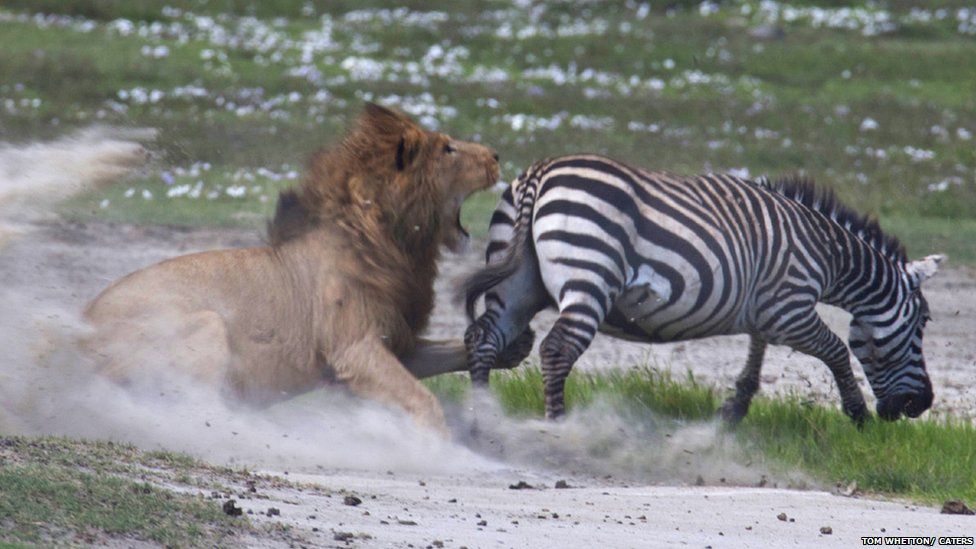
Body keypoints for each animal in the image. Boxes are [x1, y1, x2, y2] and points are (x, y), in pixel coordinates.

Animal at [82, 104, 510, 432]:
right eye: (448, 149)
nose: (495, 155)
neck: (393, 243)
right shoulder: (354, 349)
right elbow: (424, 402)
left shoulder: (397, 343)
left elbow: (453, 350)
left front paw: (508, 347)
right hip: (204, 324)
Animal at [466, 154, 944, 424]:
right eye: (923, 324)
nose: (921, 405)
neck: (826, 254)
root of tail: (539, 174)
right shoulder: (790, 309)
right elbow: (838, 352)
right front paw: (858, 416)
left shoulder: (764, 308)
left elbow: (755, 357)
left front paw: (732, 414)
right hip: (589, 279)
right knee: (556, 350)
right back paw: (559, 427)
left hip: (517, 286)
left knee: (483, 339)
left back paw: (483, 418)